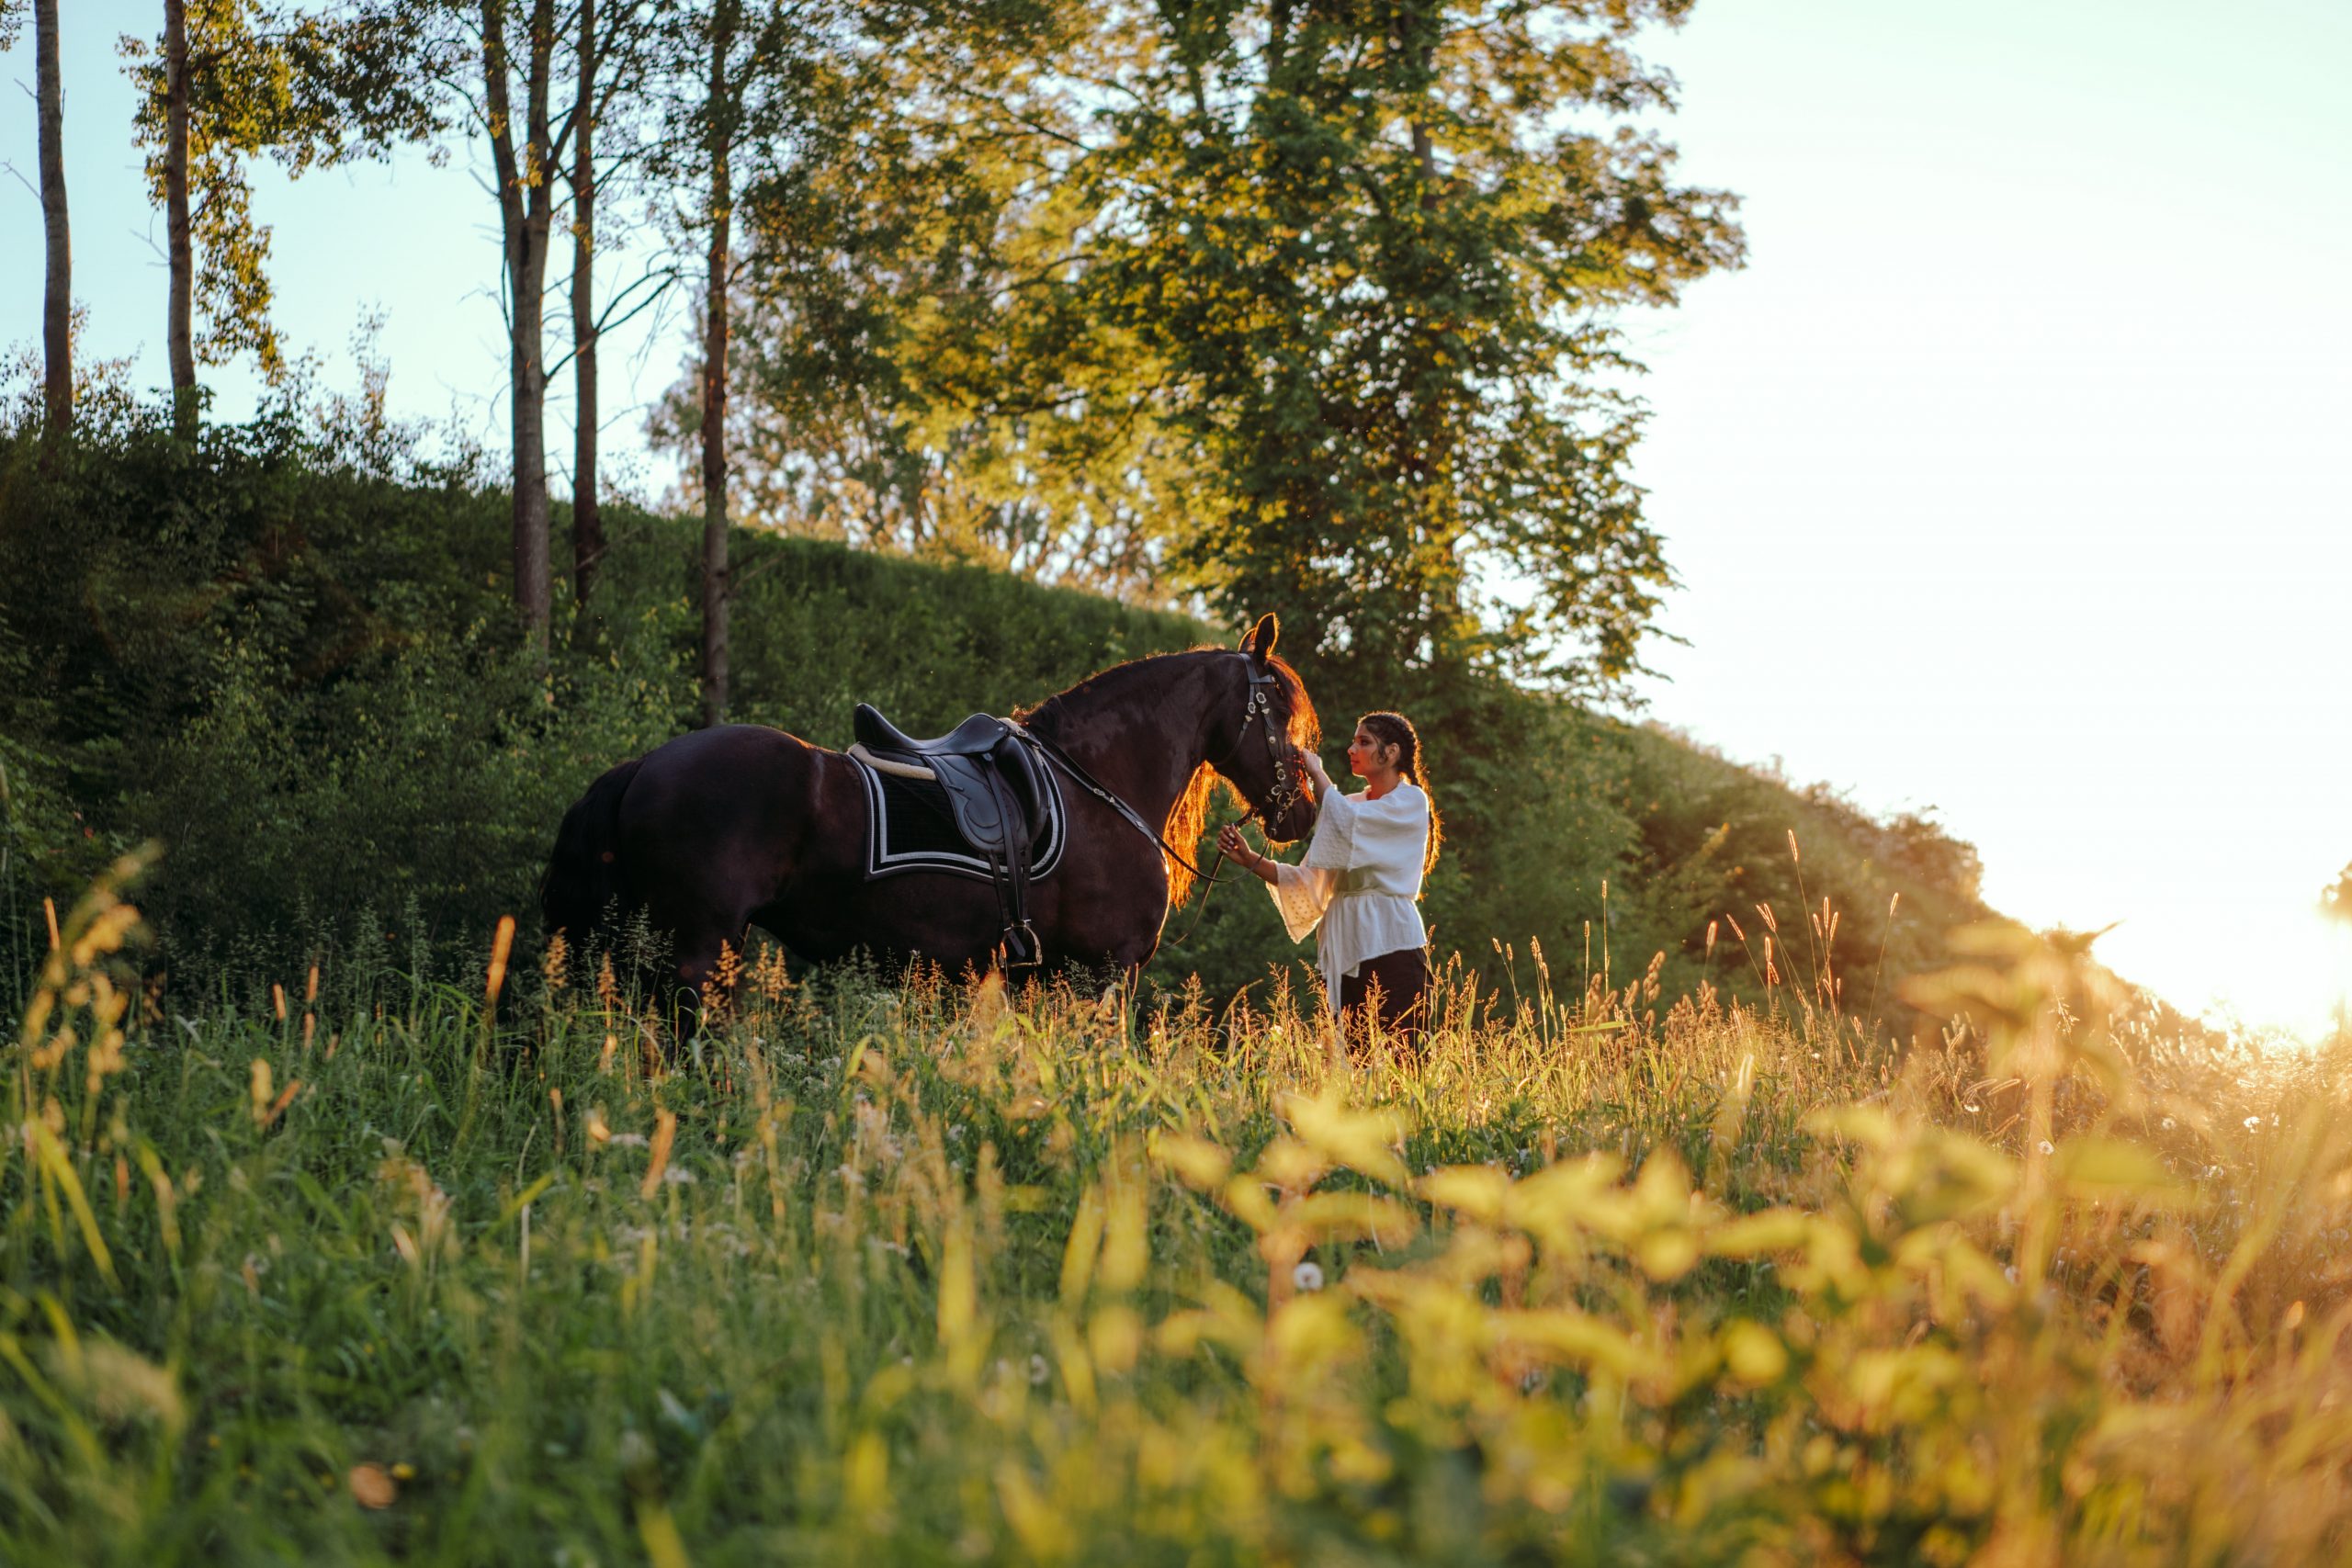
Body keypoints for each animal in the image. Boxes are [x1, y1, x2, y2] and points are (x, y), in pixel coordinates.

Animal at [545, 615, 1326, 1001]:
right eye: (1281, 712)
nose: (1304, 814)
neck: (1095, 783)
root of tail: (646, 764)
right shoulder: (1105, 972)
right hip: (699, 949)